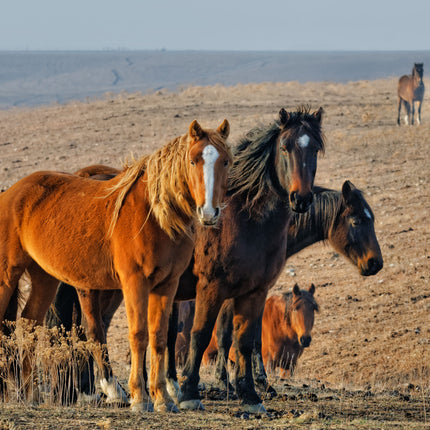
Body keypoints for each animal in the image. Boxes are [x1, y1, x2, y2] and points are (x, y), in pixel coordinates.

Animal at [0, 119, 232, 412]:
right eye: (193, 161)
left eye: (225, 161)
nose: (209, 213)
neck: (153, 216)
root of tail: (11, 193)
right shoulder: (134, 282)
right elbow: (139, 334)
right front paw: (139, 397)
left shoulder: (167, 284)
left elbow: (158, 337)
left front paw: (163, 398)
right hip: (8, 274)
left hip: (45, 277)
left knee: (29, 323)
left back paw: (30, 395)